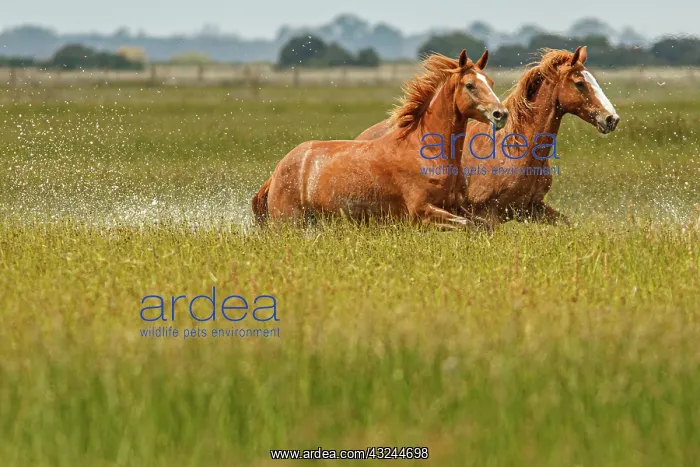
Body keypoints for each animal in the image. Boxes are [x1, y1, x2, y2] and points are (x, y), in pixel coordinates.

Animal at [251, 49, 508, 229]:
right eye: (470, 85)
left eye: (491, 82)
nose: (501, 114)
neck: (425, 150)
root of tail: (277, 172)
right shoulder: (422, 212)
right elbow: (468, 226)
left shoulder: (456, 206)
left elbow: (483, 226)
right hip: (290, 224)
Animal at [355, 46, 621, 227]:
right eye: (579, 83)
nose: (611, 119)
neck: (517, 149)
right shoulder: (488, 214)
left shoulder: (531, 208)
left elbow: (568, 224)